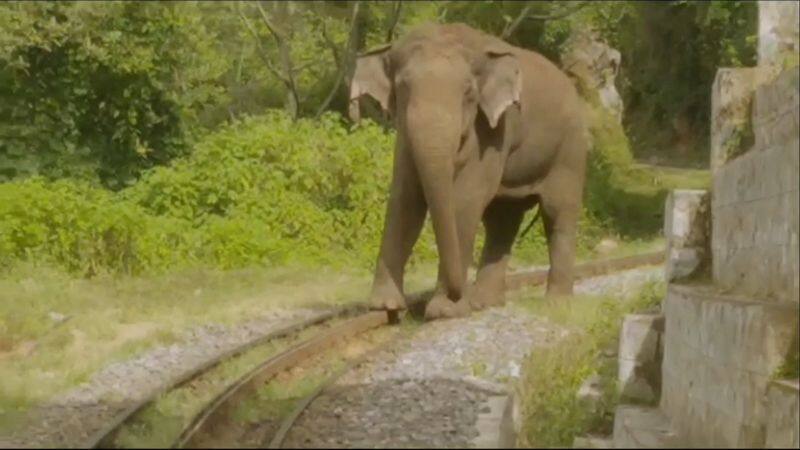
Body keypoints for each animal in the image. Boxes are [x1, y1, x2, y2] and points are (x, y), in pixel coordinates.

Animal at [348, 23, 588, 320]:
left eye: (467, 92)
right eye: (403, 88)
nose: (457, 293)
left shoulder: (494, 131)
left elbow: (465, 199)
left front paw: (443, 311)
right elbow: (405, 197)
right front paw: (386, 307)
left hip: (570, 150)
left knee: (558, 213)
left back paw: (556, 304)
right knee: (502, 219)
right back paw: (484, 302)